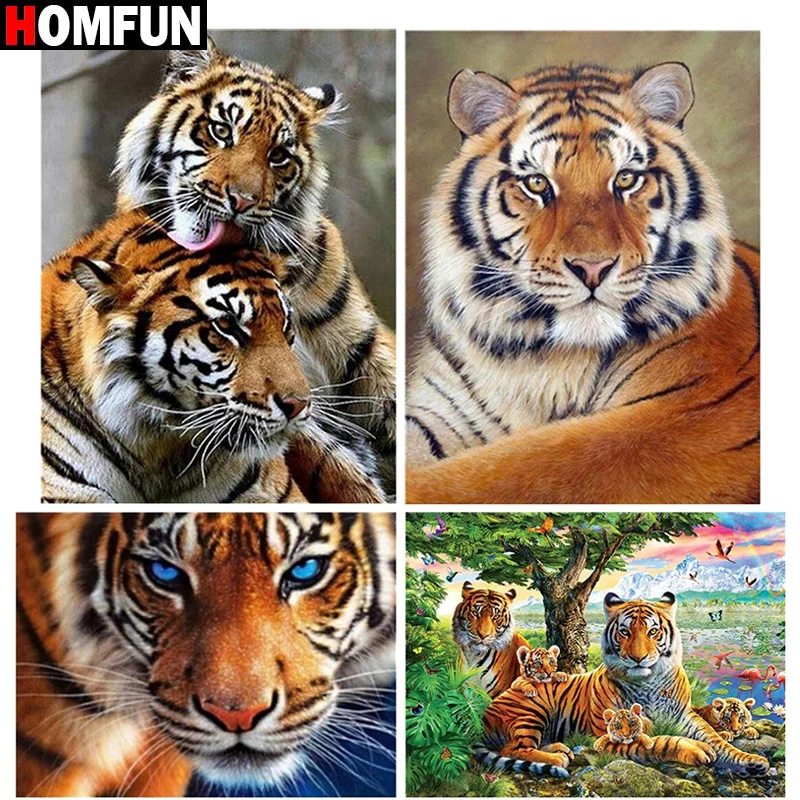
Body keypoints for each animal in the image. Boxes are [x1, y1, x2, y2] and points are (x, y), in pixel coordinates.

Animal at [406, 62, 759, 503]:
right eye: (537, 183)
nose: (593, 268)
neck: (539, 360)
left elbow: (507, 472)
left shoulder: (683, 416)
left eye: (626, 179)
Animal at [477, 592, 769, 776]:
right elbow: (660, 742)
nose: (638, 658)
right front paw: (695, 749)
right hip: (532, 710)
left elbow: (718, 740)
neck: (648, 684)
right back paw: (557, 757)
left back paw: (560, 748)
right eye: (625, 632)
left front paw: (753, 762)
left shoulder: (685, 717)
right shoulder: (606, 737)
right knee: (513, 747)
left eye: (653, 631)